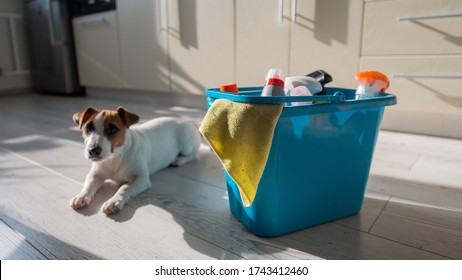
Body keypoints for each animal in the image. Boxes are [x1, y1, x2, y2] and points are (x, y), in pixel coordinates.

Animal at [70, 105, 200, 214]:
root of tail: (188, 122)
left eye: (113, 129)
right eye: (88, 128)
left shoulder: (141, 179)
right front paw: (81, 196)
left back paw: (178, 160)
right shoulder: (95, 174)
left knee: (194, 154)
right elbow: (89, 185)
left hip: (186, 145)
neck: (115, 157)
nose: (93, 151)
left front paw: (113, 201)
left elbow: (124, 188)